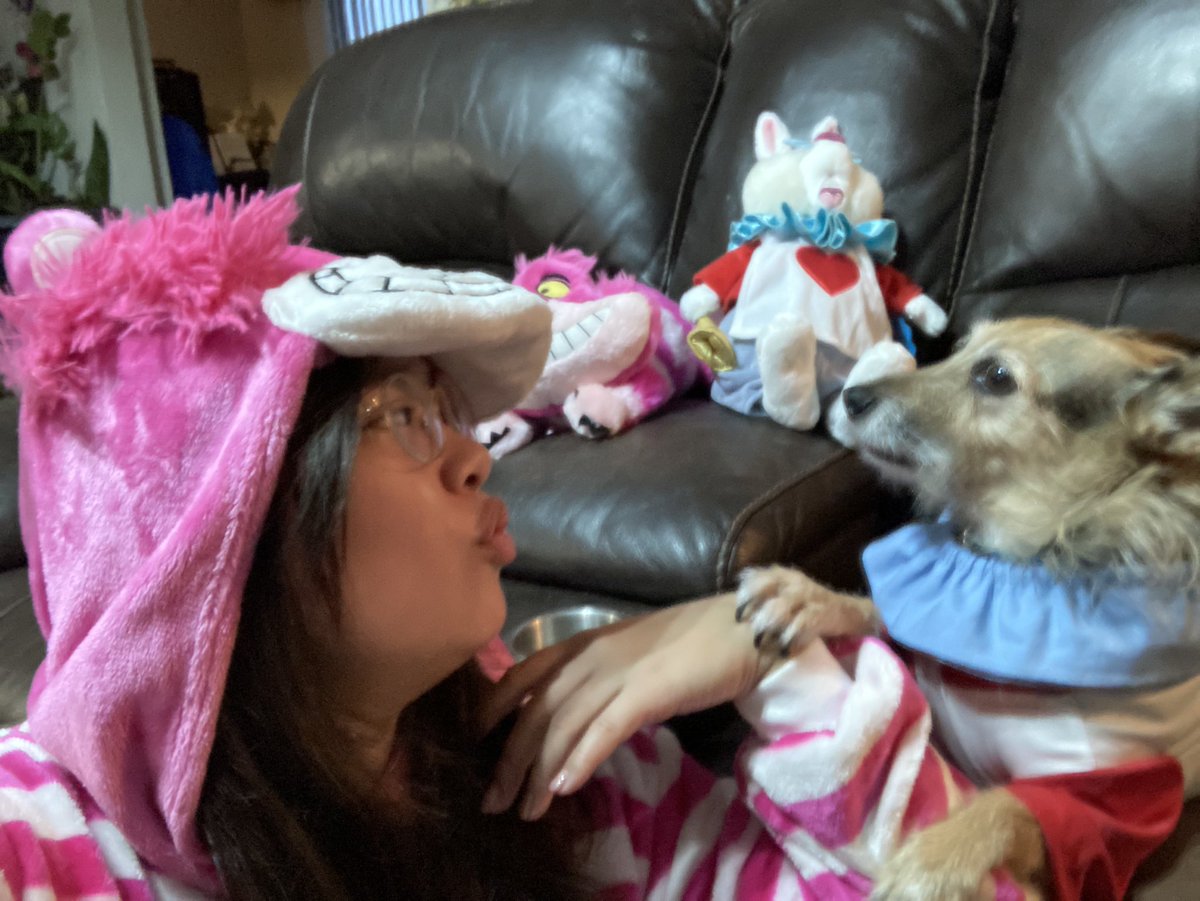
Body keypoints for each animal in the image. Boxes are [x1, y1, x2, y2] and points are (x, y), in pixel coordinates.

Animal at [734, 319, 1200, 901]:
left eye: (997, 377)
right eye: (958, 351)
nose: (850, 397)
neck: (1003, 561)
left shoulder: (1117, 804)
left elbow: (1010, 804)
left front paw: (929, 863)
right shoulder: (921, 642)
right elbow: (876, 613)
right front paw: (808, 598)